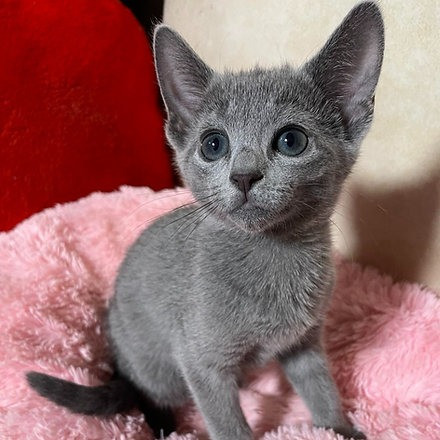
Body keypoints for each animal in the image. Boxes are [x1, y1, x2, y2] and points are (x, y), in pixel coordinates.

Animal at [27, 1, 384, 438]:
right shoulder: (200, 361)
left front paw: (340, 428)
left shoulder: (304, 343)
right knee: (148, 396)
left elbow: (322, 389)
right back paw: (167, 429)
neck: (270, 255)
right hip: (155, 365)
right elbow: (228, 424)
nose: (244, 175)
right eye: (213, 145)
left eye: (292, 140)